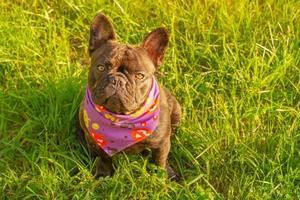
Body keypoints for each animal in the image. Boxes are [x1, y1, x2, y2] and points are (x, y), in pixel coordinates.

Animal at [76, 13, 182, 180]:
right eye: (101, 67)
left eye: (139, 76)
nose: (117, 80)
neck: (120, 119)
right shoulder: (97, 144)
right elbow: (104, 158)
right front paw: (104, 174)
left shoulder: (161, 144)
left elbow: (160, 161)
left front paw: (161, 177)